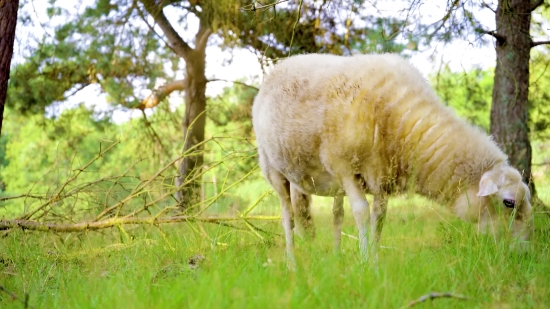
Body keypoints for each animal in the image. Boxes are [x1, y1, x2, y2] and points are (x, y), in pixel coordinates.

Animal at [253, 53, 536, 264]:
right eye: (509, 202)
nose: (524, 252)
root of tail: (283, 63)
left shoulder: (381, 178)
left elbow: (378, 219)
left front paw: (374, 261)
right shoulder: (345, 168)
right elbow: (362, 213)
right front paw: (365, 263)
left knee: (336, 214)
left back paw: (336, 257)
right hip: (273, 168)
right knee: (288, 215)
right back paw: (291, 262)